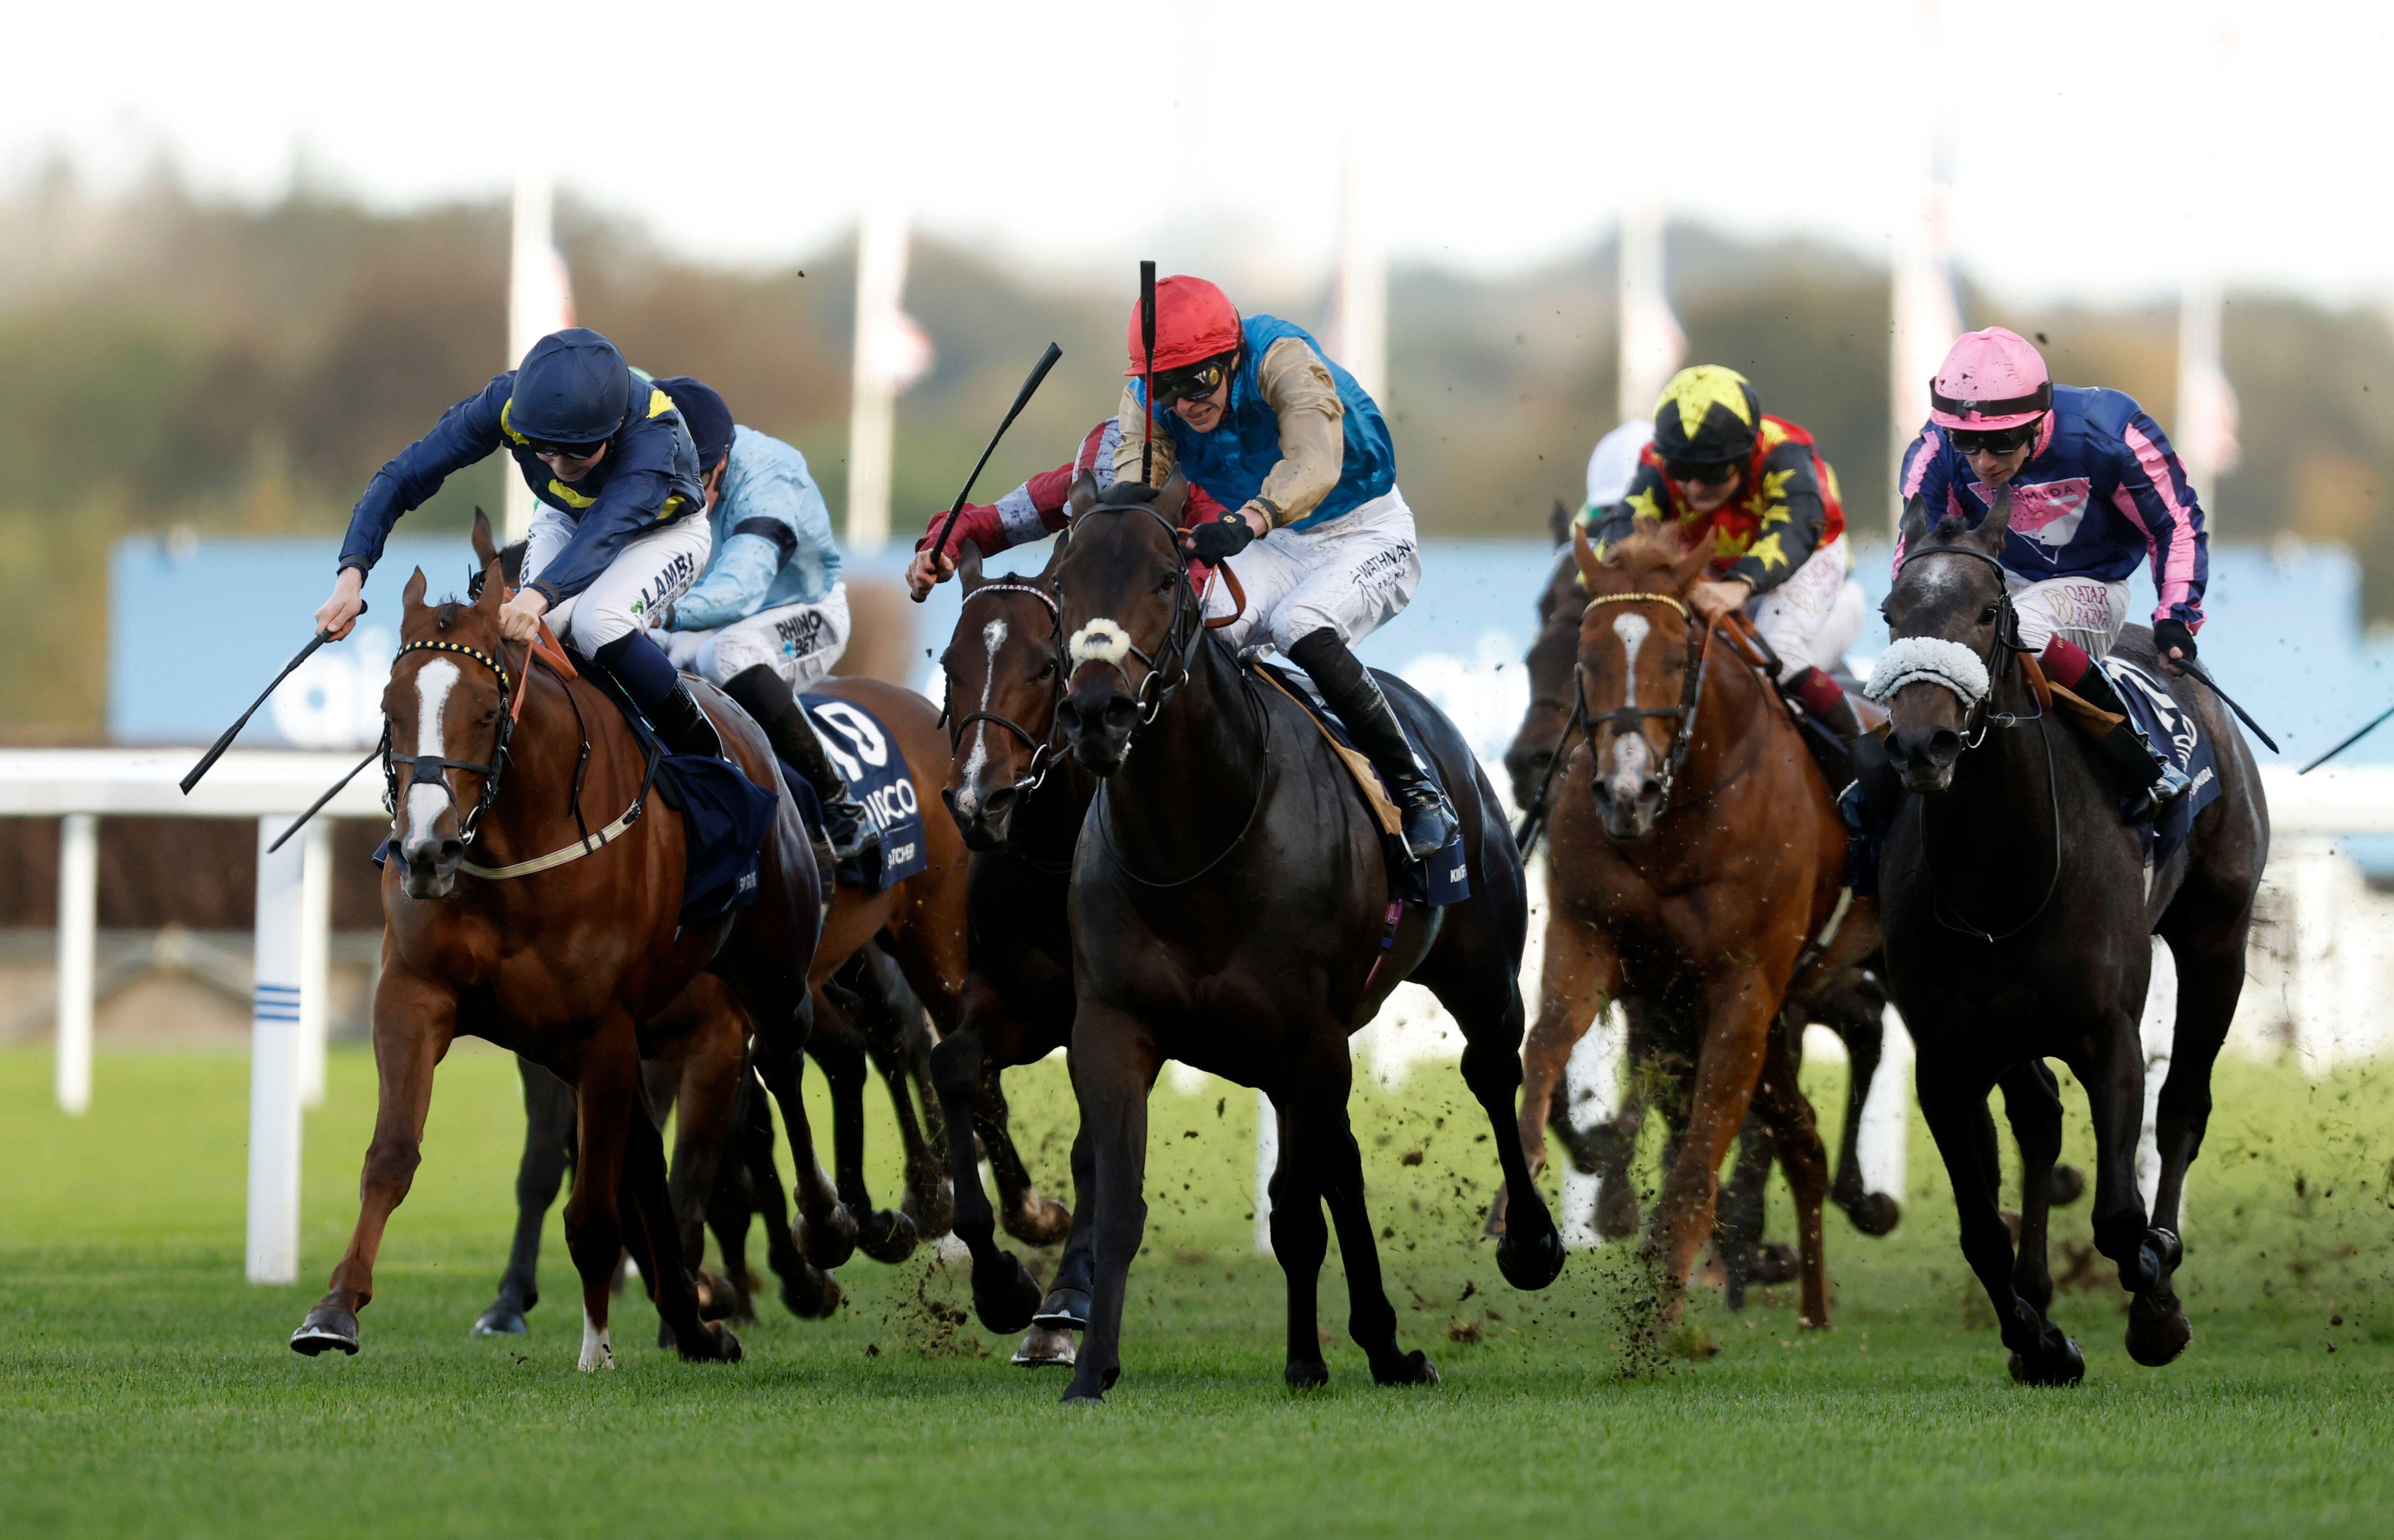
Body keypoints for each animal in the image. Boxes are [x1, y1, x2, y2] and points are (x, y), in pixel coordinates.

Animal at [291, 512, 823, 1370]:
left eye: (485, 711)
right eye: (390, 708)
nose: (425, 852)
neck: (511, 850)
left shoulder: (603, 1030)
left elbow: (599, 1206)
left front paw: (597, 1344)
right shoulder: (417, 995)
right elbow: (393, 1156)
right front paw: (334, 1309)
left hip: (769, 974)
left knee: (781, 1061)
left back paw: (831, 1232)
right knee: (651, 1157)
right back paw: (694, 1318)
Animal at [1867, 493, 2260, 1389]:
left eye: (1988, 611)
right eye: (1892, 613)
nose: (1921, 745)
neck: (2000, 874)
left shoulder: (2107, 1030)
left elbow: (2117, 1215)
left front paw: (2155, 1306)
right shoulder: (1946, 1053)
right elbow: (1982, 1229)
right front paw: (2041, 1339)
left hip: (2218, 936)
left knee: (2183, 1104)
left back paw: (2162, 1252)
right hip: (2007, 1026)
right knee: (2038, 1119)